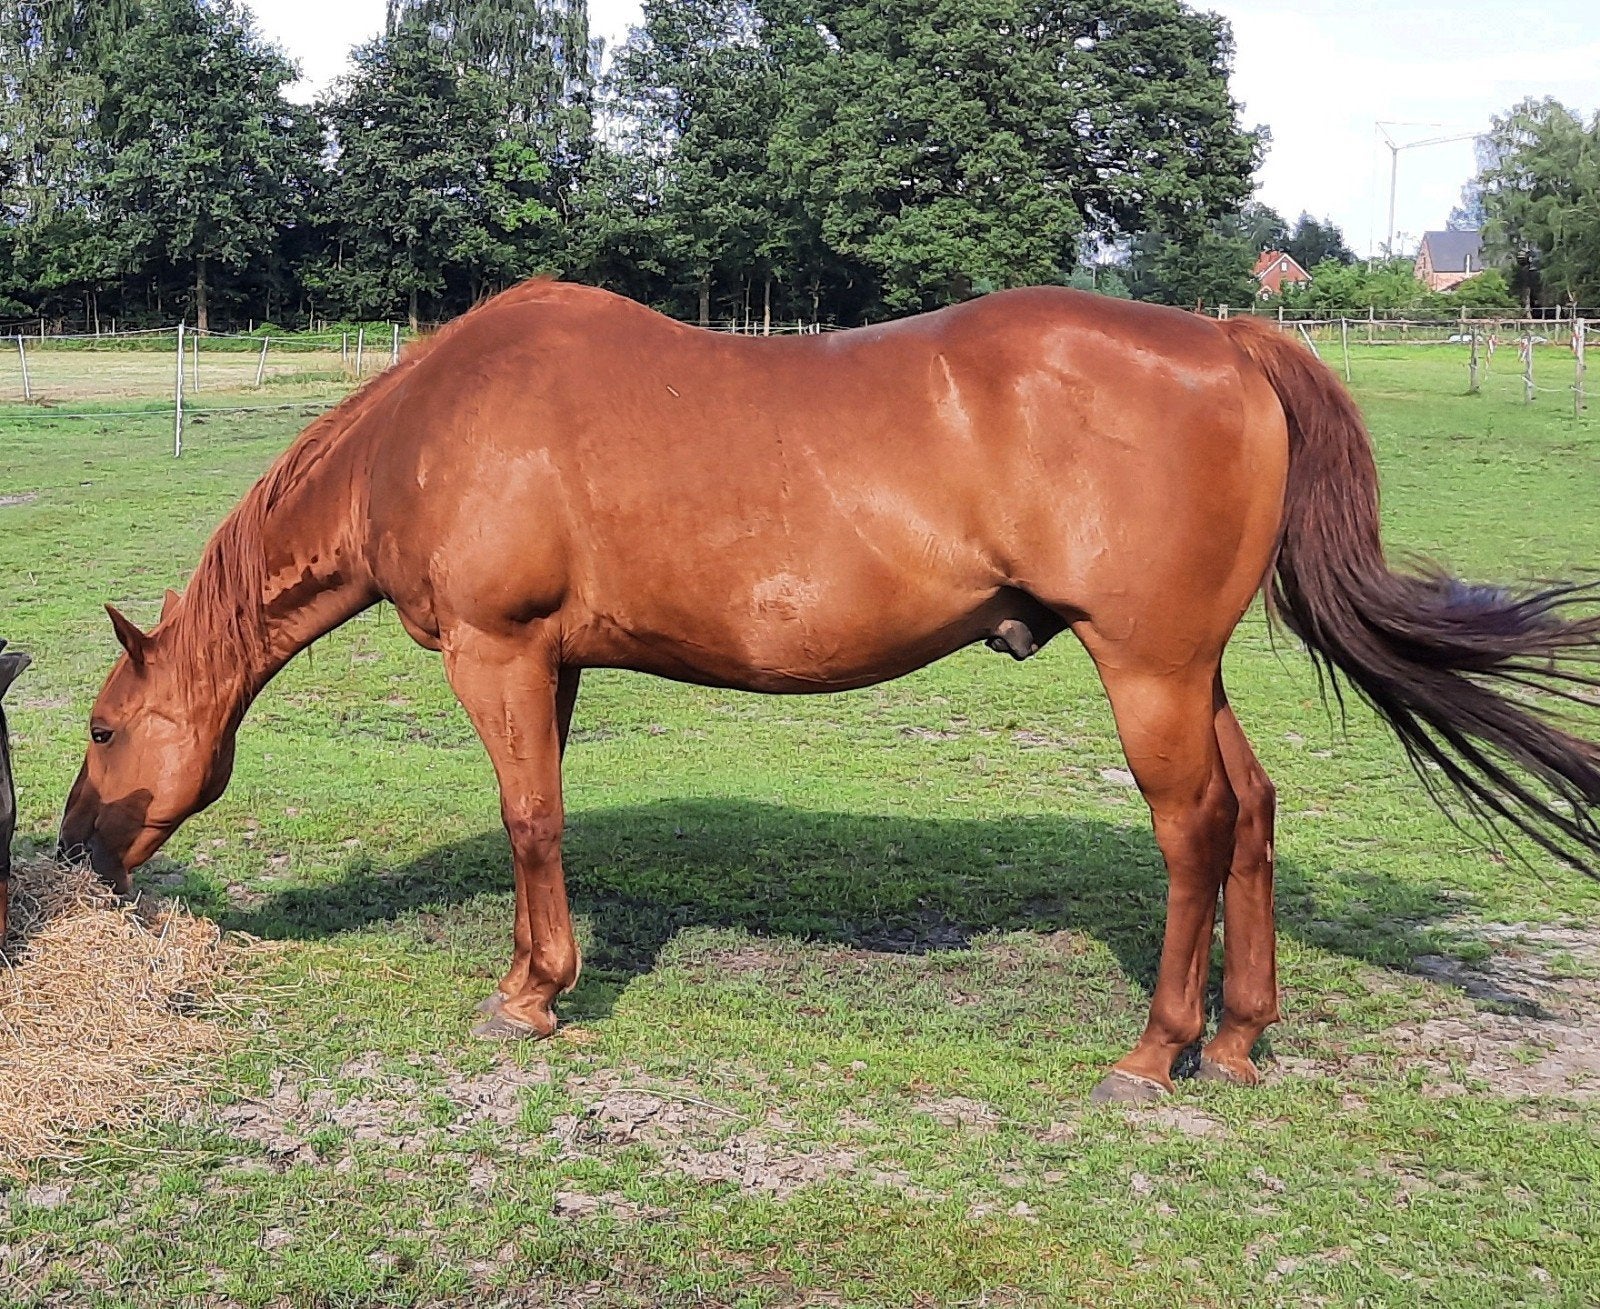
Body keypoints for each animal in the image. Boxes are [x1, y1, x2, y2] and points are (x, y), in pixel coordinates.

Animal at [58, 281, 1600, 1103]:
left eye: (103, 727)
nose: (75, 853)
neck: (433, 429)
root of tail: (1229, 338)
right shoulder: (553, 667)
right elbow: (546, 825)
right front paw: (540, 974)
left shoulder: (498, 655)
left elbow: (525, 825)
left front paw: (528, 996)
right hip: (1191, 669)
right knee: (1258, 811)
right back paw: (1236, 1039)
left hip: (1148, 669)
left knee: (1193, 832)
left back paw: (1155, 1051)